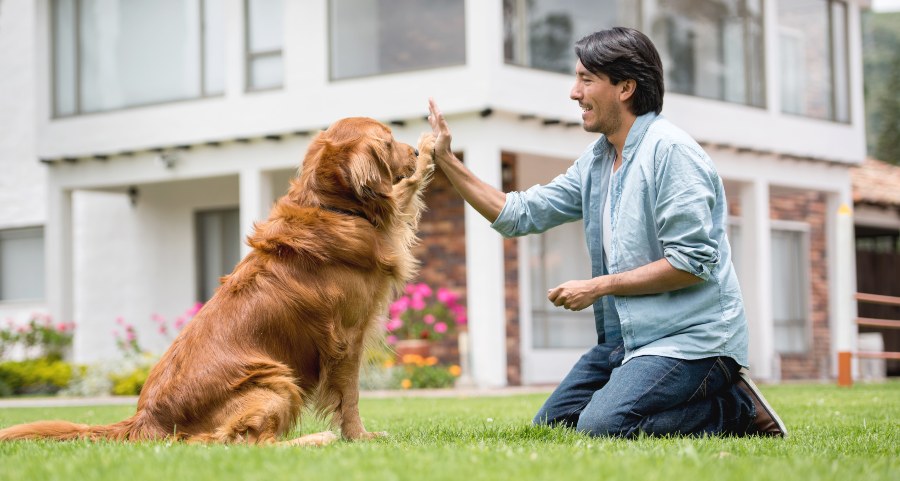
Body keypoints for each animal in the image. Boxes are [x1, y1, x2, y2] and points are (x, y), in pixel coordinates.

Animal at [0, 117, 436, 446]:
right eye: (388, 141)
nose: (412, 151)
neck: (331, 206)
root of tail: (146, 419)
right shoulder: (346, 338)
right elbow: (350, 397)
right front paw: (359, 437)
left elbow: (402, 193)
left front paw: (430, 150)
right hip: (275, 379)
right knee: (242, 442)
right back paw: (314, 441)